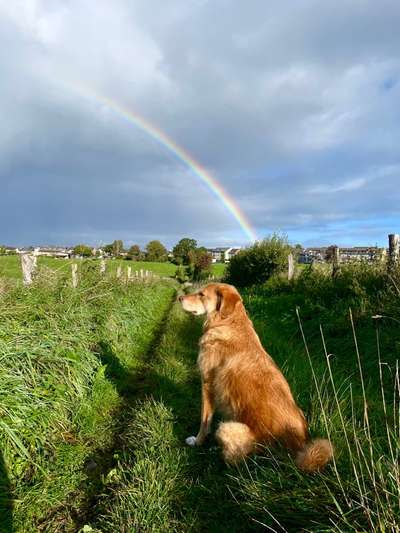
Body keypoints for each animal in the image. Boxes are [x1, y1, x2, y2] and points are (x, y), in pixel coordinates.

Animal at [180, 282, 332, 470]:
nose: (179, 298)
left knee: (239, 460)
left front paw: (197, 441)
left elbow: (204, 420)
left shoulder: (207, 385)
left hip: (228, 429)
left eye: (201, 294)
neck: (228, 322)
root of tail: (295, 451)